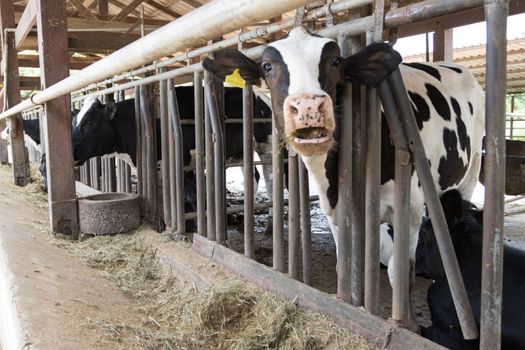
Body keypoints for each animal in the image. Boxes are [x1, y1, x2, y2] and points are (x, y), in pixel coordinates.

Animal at [204, 26, 484, 322]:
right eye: (267, 66)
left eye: (336, 61)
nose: (308, 107)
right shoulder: (338, 212)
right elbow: (346, 266)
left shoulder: (409, 208)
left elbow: (400, 272)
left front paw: (406, 322)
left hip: (471, 168)